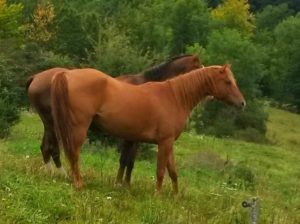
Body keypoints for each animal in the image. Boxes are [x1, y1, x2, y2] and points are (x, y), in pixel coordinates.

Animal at [27, 54, 202, 177]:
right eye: (199, 68)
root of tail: (36, 77)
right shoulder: (133, 138)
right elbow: (127, 161)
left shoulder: (133, 137)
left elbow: (127, 161)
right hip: (53, 124)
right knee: (52, 148)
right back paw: (61, 173)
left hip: (50, 124)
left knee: (45, 148)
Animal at [50, 64, 245, 191]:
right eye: (228, 81)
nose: (242, 103)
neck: (175, 97)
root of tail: (66, 74)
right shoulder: (164, 142)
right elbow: (160, 171)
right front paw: (157, 195)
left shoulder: (169, 143)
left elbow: (173, 171)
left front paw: (175, 196)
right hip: (79, 128)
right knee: (74, 153)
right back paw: (79, 183)